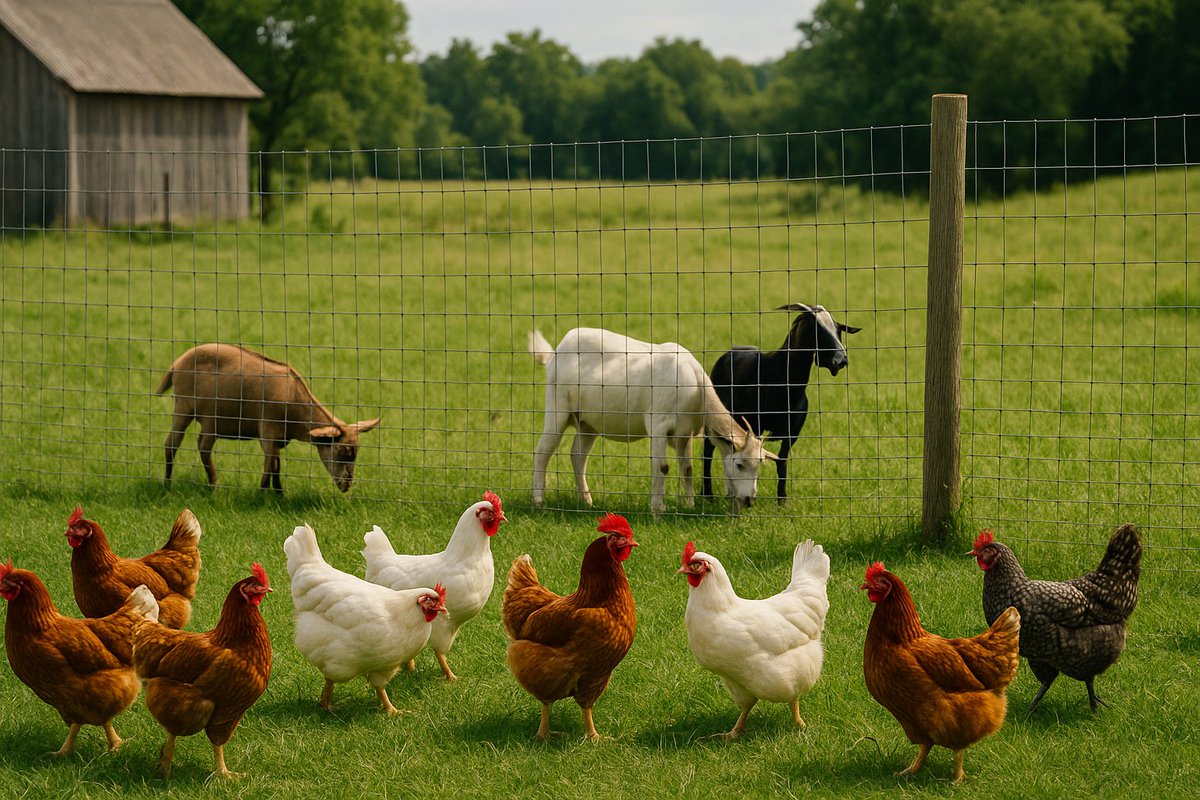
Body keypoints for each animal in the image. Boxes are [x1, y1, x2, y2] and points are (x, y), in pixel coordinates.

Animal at [156, 343, 380, 493]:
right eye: (341, 451)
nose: (346, 485)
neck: (293, 398)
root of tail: (176, 364)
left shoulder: (279, 437)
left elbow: (276, 466)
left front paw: (279, 494)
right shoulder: (268, 430)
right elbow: (268, 464)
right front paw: (261, 495)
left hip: (208, 418)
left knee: (199, 445)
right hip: (186, 408)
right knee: (176, 444)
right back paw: (174, 485)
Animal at [529, 327, 776, 515]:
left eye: (758, 465)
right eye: (739, 464)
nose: (749, 500)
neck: (696, 388)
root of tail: (556, 352)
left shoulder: (684, 432)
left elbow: (687, 468)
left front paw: (689, 504)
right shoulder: (658, 424)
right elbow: (662, 466)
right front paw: (657, 508)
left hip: (588, 422)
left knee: (578, 457)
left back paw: (587, 501)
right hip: (557, 407)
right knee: (543, 451)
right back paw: (538, 500)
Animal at [702, 304, 861, 504]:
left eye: (838, 330)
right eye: (817, 329)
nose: (841, 360)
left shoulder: (792, 432)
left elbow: (781, 462)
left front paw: (781, 502)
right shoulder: (753, 425)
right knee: (708, 451)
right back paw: (708, 495)